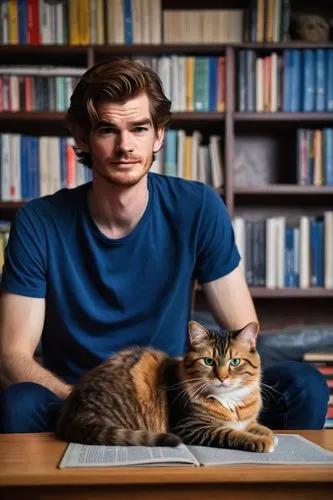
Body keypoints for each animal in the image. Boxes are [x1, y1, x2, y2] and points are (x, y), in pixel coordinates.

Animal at [55, 320, 276, 454]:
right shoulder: (192, 426)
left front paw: (269, 435)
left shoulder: (246, 420)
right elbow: (231, 433)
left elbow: (258, 427)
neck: (230, 401)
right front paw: (262, 441)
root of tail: (71, 415)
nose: (222, 377)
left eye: (235, 362)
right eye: (208, 361)